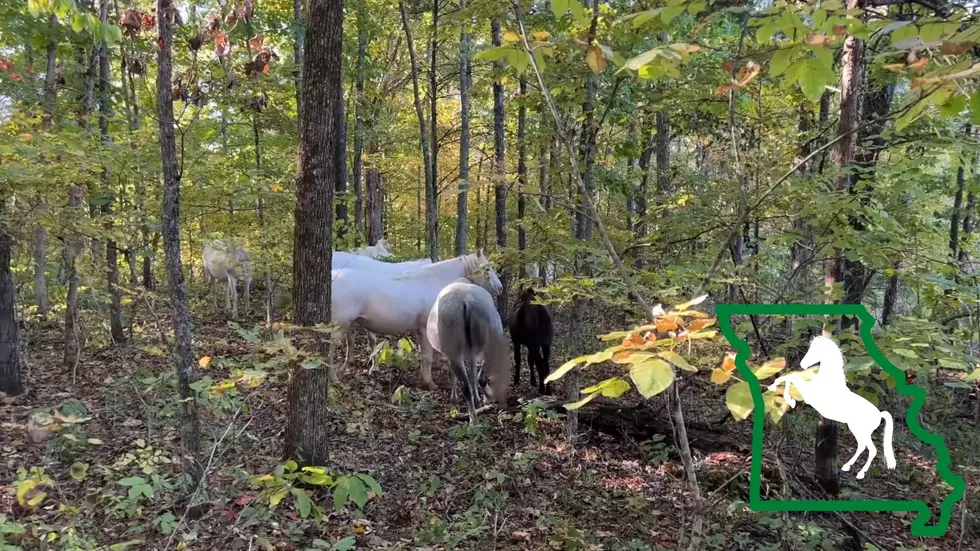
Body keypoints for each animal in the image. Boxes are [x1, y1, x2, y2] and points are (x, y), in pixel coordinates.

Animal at [332, 251, 506, 388]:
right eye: (487, 268)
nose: (500, 288)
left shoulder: (419, 330)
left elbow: (425, 356)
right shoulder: (425, 328)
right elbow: (428, 357)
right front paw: (429, 383)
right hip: (338, 328)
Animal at [426, 280, 510, 422]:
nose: (499, 288)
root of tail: (465, 302)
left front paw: (454, 397)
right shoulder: (471, 353)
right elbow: (473, 373)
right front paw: (476, 399)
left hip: (455, 350)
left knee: (466, 385)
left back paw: (474, 416)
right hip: (490, 340)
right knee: (480, 377)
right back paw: (485, 402)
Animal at [764, 334, 896, 480]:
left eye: (815, 350)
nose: (803, 364)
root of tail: (879, 414)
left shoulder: (810, 395)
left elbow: (792, 377)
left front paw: (787, 398)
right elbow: (790, 377)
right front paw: (777, 390)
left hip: (861, 431)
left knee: (872, 450)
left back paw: (860, 474)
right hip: (858, 431)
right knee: (862, 447)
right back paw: (846, 466)